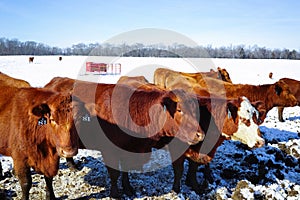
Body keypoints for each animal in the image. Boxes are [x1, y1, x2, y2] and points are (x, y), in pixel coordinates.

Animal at [44, 76, 205, 197]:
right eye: (179, 110)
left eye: (196, 110)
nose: (200, 135)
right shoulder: (109, 150)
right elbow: (114, 173)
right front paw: (115, 194)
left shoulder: (129, 150)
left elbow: (125, 171)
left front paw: (128, 189)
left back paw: (72, 166)